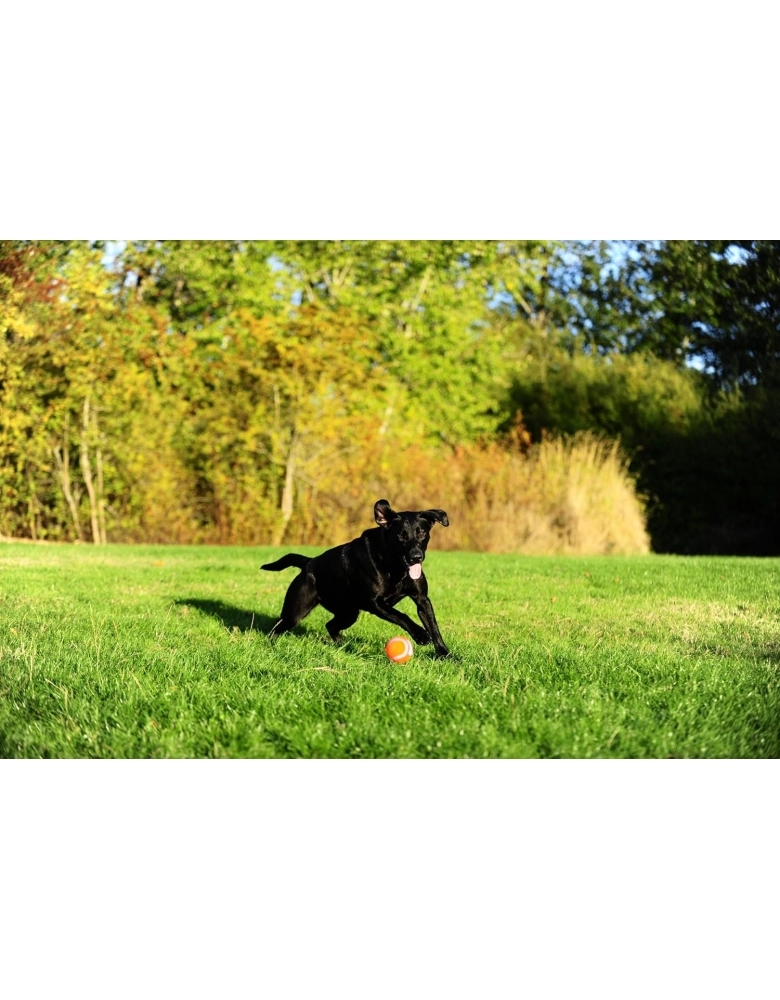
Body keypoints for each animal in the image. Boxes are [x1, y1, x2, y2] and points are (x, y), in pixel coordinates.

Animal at [261, 499, 450, 657]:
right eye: (400, 536)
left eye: (422, 533)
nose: (416, 557)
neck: (394, 566)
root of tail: (309, 562)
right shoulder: (375, 603)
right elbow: (402, 615)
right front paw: (421, 635)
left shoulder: (422, 600)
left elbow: (434, 628)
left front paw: (446, 655)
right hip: (296, 611)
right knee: (277, 627)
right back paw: (272, 645)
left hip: (348, 613)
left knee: (330, 625)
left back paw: (343, 644)